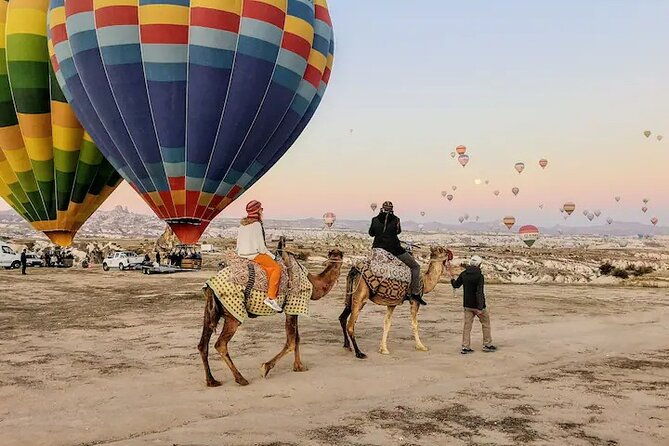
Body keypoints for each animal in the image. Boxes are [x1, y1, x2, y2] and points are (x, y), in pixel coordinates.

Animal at [196, 239, 342, 388]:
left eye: (337, 253)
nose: (336, 254)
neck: (313, 283)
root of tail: (210, 285)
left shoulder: (294, 309)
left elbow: (297, 338)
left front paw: (299, 366)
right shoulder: (293, 306)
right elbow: (291, 342)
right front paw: (266, 368)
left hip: (211, 311)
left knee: (203, 344)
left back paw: (211, 380)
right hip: (233, 312)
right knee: (221, 344)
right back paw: (241, 379)